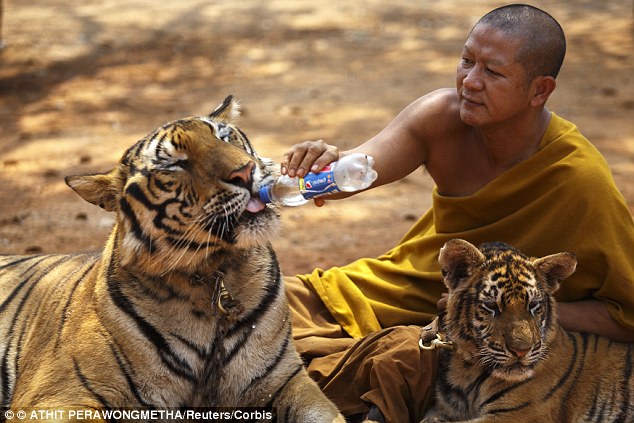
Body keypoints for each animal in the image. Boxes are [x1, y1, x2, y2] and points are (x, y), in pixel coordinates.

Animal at [0, 97, 344, 423]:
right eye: (175, 164)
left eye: (223, 136)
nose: (245, 172)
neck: (213, 272)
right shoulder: (59, 395)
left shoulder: (286, 381)